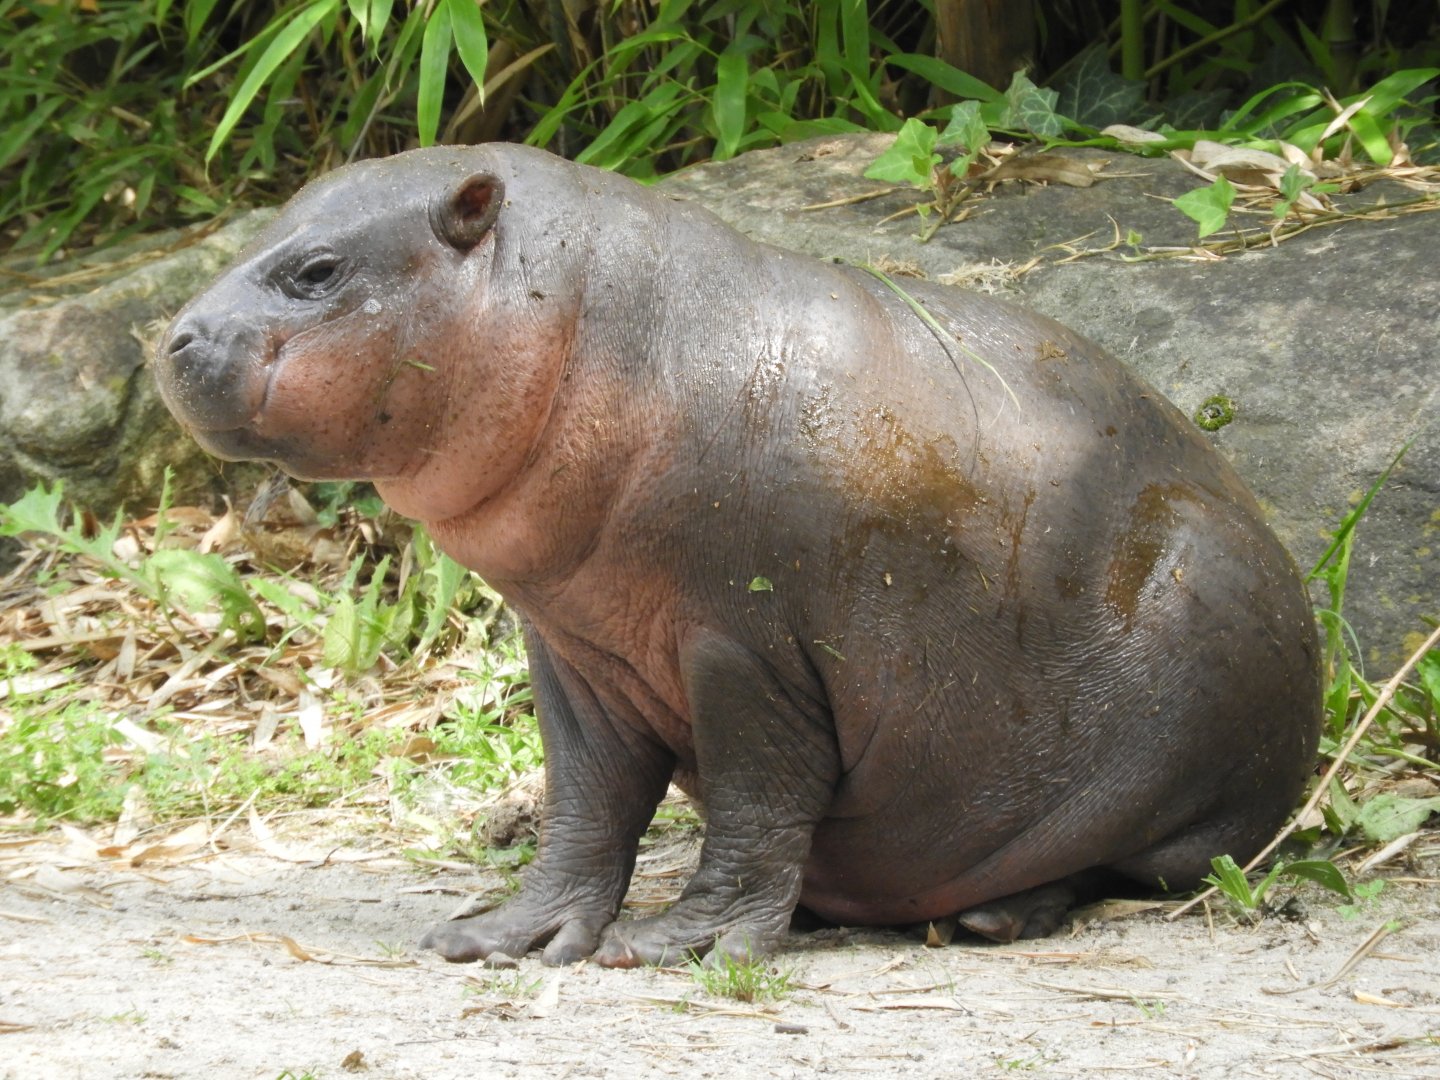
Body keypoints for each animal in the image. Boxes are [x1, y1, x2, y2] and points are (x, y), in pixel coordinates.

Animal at [156, 143, 1321, 967]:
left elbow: (757, 799)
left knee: (1131, 864)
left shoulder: (751, 650)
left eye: (316, 269)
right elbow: (587, 803)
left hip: (1193, 732)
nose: (169, 340)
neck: (603, 332)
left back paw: (991, 918)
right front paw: (502, 936)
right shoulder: (576, 652)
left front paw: (684, 945)